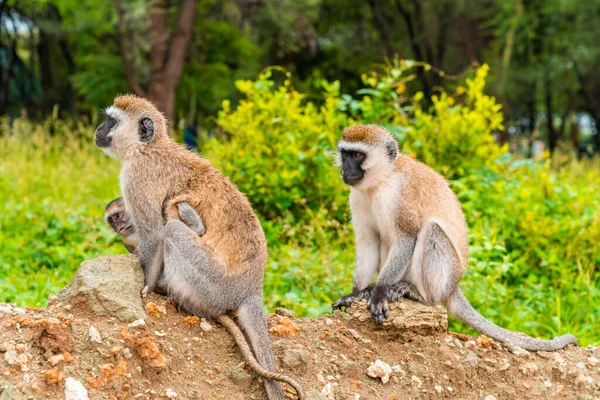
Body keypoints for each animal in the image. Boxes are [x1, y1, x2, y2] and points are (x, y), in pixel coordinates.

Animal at [94, 95, 304, 398]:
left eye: (111, 120)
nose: (99, 128)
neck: (148, 148)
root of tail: (252, 289)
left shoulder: (135, 177)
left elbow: (154, 235)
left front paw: (145, 289)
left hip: (212, 284)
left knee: (171, 231)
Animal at [332, 123, 576, 352]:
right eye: (345, 154)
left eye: (358, 155)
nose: (345, 169)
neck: (380, 181)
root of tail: (452, 286)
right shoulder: (357, 197)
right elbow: (368, 242)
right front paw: (355, 293)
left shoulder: (397, 196)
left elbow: (406, 239)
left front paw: (379, 293)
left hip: (444, 276)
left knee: (432, 231)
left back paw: (420, 295)